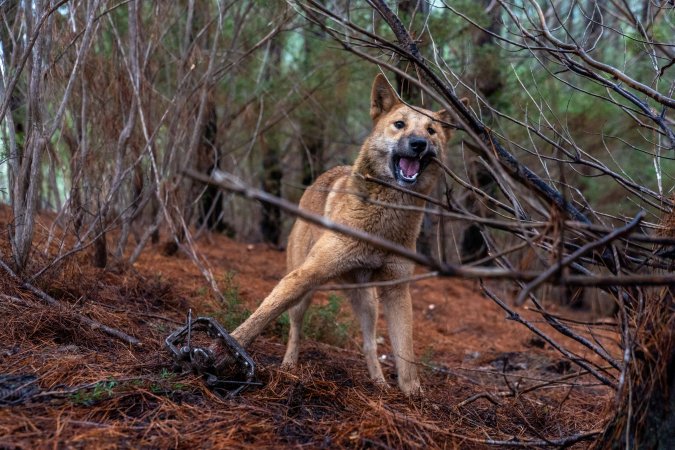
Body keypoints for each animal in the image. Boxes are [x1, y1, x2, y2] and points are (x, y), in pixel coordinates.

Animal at [230, 74, 456, 394]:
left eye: (431, 130)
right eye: (399, 124)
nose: (419, 143)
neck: (384, 221)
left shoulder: (397, 290)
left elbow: (406, 353)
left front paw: (413, 395)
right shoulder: (306, 276)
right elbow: (263, 315)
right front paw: (227, 344)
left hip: (368, 302)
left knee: (368, 344)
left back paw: (379, 383)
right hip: (303, 288)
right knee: (295, 328)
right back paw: (289, 367)